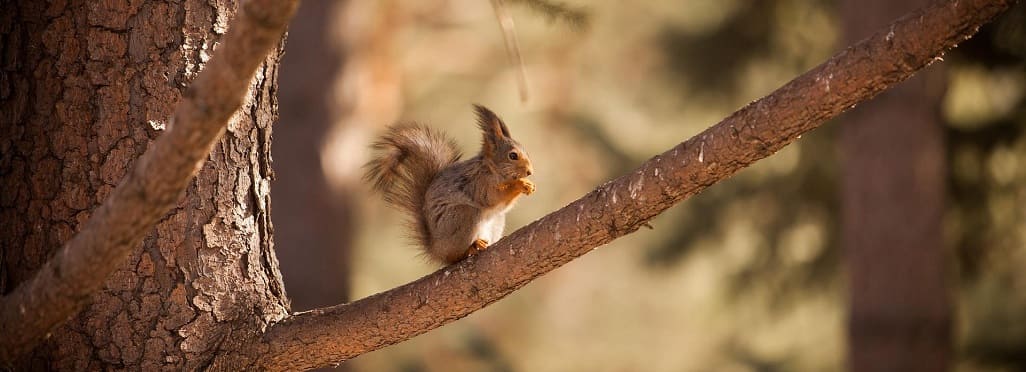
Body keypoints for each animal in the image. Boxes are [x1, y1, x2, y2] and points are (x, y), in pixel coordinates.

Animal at [365, 103, 537, 264]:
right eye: (513, 155)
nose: (530, 172)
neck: (492, 169)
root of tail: (436, 249)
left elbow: (503, 205)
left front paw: (528, 184)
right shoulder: (479, 183)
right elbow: (492, 198)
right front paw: (520, 185)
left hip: (496, 221)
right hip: (462, 216)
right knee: (454, 256)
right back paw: (471, 247)